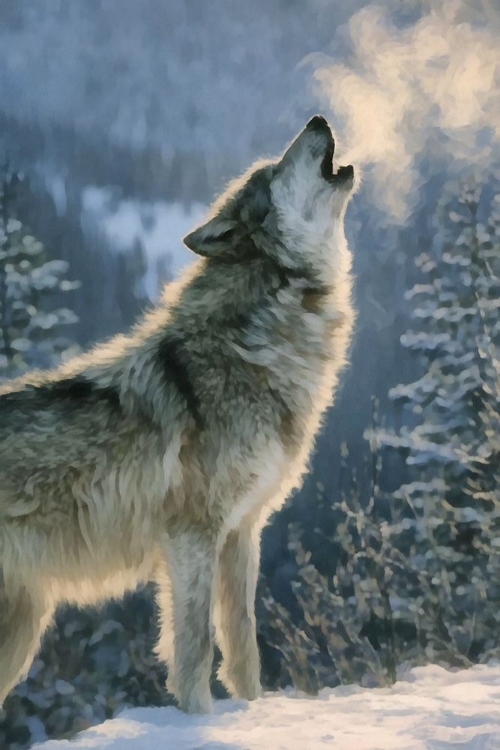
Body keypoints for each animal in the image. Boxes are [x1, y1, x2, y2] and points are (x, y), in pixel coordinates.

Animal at [0, 115, 356, 714]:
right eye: (273, 171)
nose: (317, 120)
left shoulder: (243, 533)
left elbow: (243, 648)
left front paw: (251, 713)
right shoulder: (192, 535)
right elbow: (195, 651)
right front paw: (199, 720)